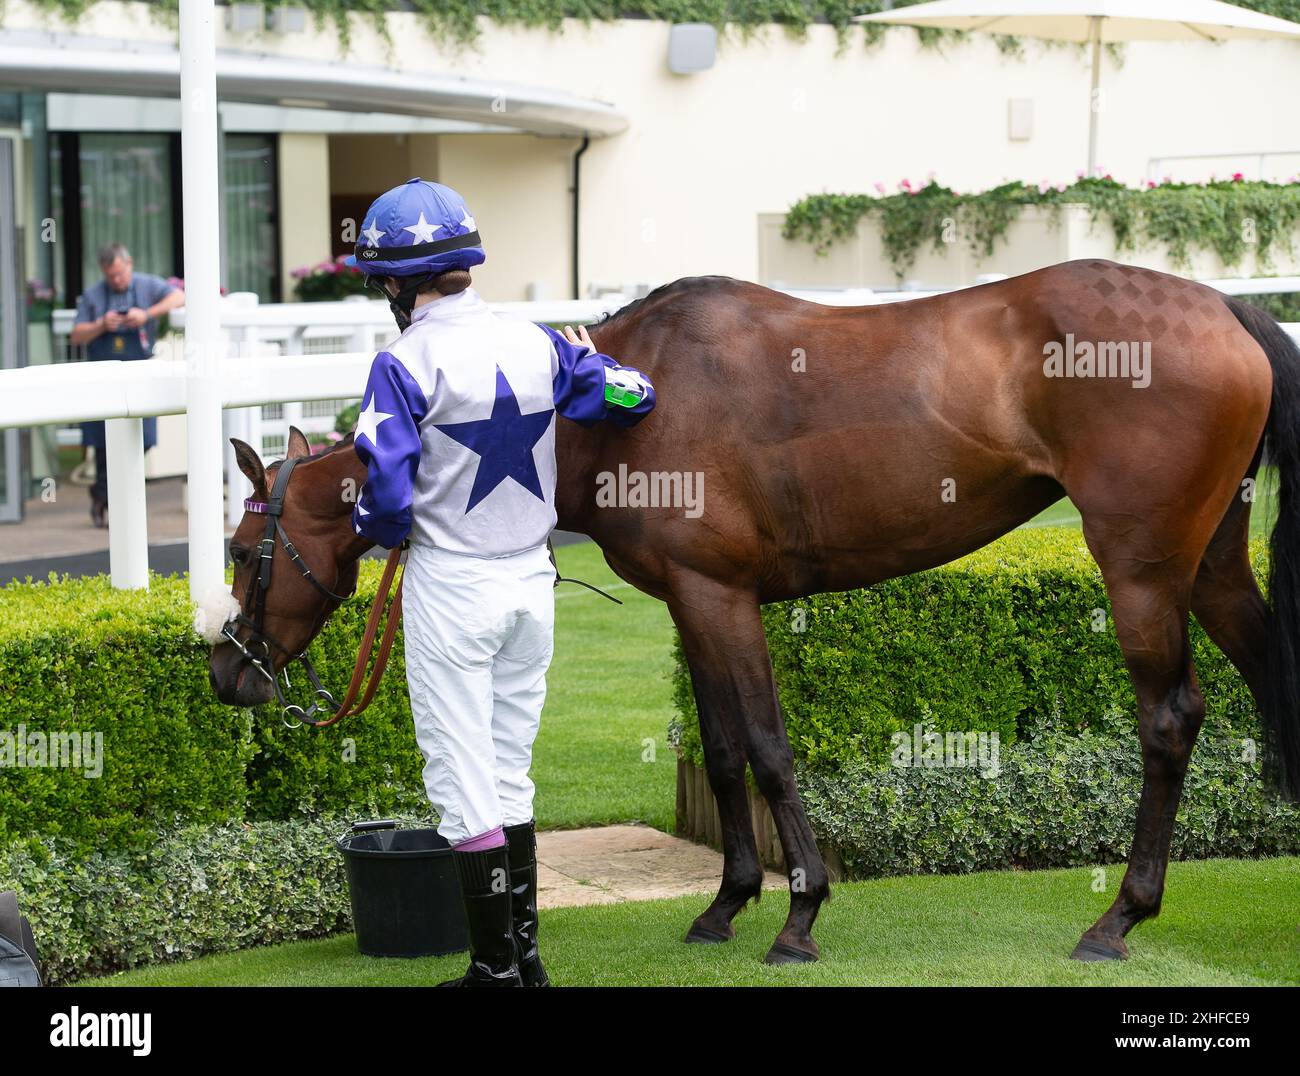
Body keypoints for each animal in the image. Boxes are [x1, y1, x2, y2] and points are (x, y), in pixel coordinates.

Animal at [208, 261, 1300, 966]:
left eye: (238, 551)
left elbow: (770, 747)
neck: (609, 408)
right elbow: (726, 749)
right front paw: (727, 901)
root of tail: (1223, 305)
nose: (228, 671)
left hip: (1141, 568)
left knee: (1170, 718)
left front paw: (799, 911)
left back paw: (1119, 917)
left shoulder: (722, 595)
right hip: (1209, 563)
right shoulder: (691, 600)